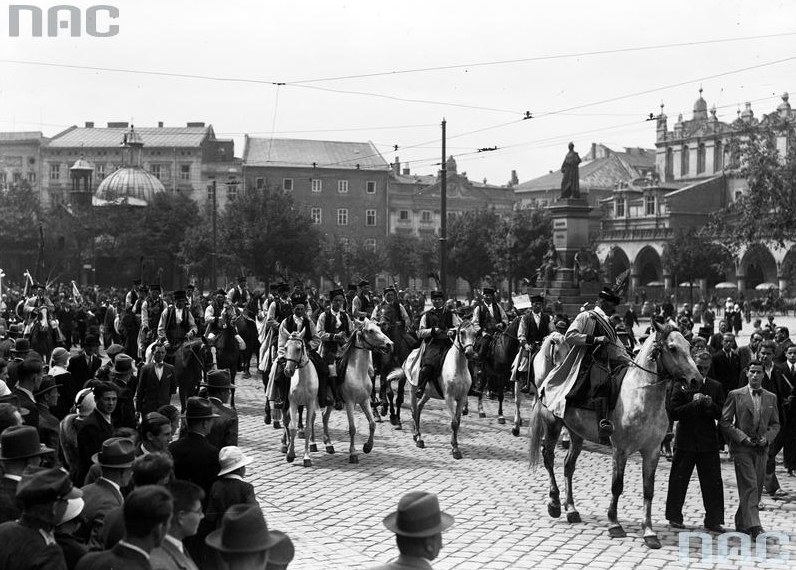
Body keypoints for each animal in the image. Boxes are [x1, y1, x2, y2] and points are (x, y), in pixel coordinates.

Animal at [280, 330, 318, 464]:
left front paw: (306, 457)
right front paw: (290, 454)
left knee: (312, 420)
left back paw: (313, 444)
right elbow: (292, 428)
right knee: (286, 421)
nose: (288, 371)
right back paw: (285, 445)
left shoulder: (310, 403)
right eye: (286, 348)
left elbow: (307, 428)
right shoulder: (293, 403)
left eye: (298, 349)